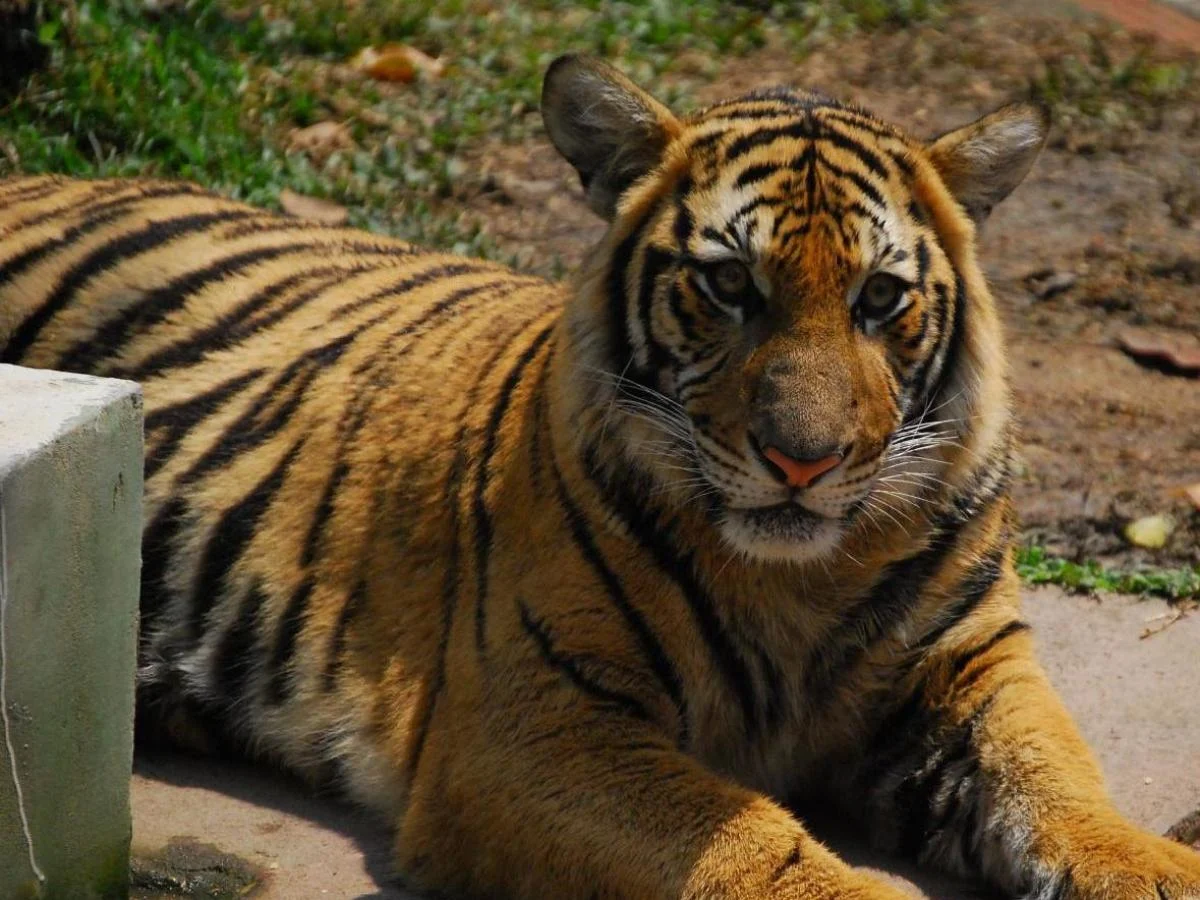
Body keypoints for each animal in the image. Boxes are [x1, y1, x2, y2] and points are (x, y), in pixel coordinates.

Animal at [1, 53, 1197, 900]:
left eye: (879, 299)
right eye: (729, 285)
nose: (802, 461)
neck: (799, 581)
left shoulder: (973, 670)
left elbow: (1064, 789)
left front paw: (1153, 866)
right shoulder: (535, 723)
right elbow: (757, 844)